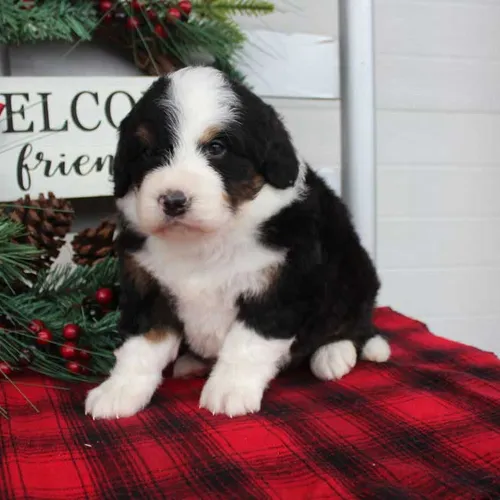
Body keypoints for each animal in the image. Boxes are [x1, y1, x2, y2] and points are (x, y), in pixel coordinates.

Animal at [85, 65, 390, 418]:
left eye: (217, 147)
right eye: (146, 151)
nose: (173, 201)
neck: (204, 241)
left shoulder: (279, 286)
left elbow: (246, 345)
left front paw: (229, 391)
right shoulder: (146, 284)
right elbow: (140, 345)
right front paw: (118, 391)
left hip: (355, 273)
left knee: (354, 323)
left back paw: (334, 354)